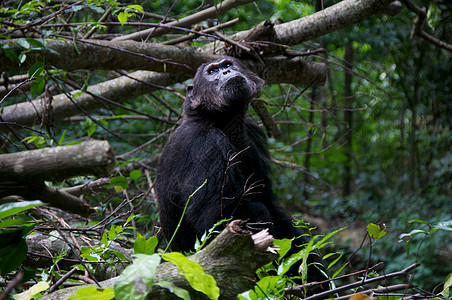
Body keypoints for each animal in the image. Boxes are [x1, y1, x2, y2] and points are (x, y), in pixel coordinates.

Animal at [155, 57, 324, 284]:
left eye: (228, 64)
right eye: (212, 71)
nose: (226, 71)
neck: (223, 121)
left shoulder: (253, 134)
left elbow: (269, 202)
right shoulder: (202, 144)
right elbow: (216, 218)